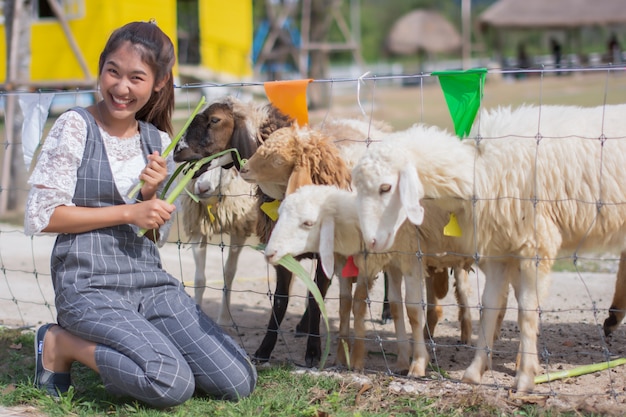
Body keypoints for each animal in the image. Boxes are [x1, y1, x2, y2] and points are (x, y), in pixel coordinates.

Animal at [179, 166, 258, 324]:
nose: (202, 188)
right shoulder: (198, 229)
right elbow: (199, 279)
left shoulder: (239, 228)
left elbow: (229, 273)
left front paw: (224, 318)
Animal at [260, 184, 470, 374]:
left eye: (308, 223)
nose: (269, 253)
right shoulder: (351, 262)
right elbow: (347, 305)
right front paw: (342, 357)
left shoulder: (386, 261)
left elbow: (363, 304)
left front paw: (357, 360)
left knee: (463, 288)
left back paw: (466, 334)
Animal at [352, 102, 624, 392]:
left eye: (386, 187)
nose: (371, 241)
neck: (479, 169)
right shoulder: (498, 251)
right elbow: (489, 307)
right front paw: (474, 371)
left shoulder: (534, 246)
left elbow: (526, 312)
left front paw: (525, 378)